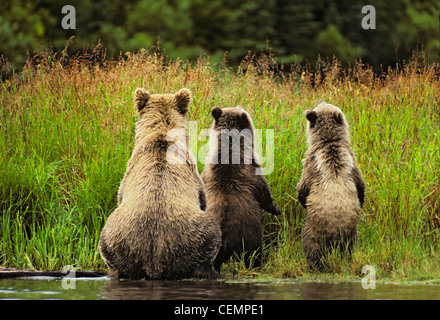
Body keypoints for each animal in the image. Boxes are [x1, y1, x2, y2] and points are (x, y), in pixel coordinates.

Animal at [101, 87, 222, 280]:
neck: (162, 131)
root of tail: (154, 260)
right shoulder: (192, 170)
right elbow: (203, 199)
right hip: (190, 235)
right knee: (211, 234)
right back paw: (212, 271)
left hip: (117, 238)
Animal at [201, 106, 280, 272]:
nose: (241, 106)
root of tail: (225, 237)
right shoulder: (252, 170)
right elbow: (263, 193)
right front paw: (276, 209)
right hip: (250, 233)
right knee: (254, 254)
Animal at [298, 101, 366, 272]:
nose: (320, 100)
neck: (329, 142)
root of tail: (335, 233)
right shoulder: (353, 163)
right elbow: (361, 187)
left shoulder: (311, 163)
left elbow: (303, 188)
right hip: (351, 235)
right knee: (349, 249)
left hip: (313, 230)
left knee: (311, 249)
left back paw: (314, 265)